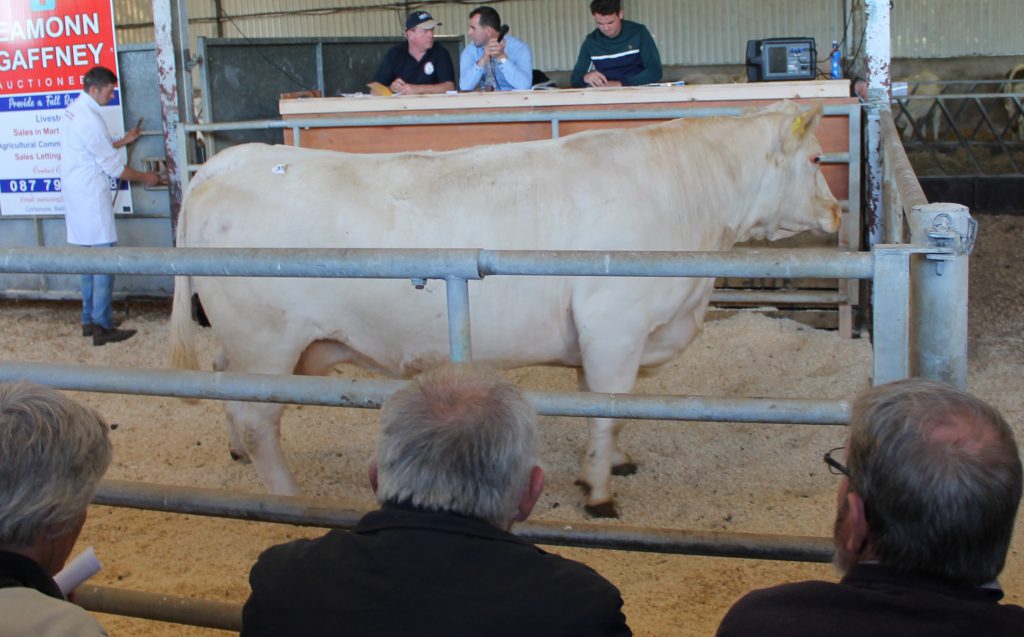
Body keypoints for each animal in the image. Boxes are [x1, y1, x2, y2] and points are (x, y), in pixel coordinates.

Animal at [169, 101, 841, 517]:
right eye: (815, 160)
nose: (838, 213)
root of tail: (223, 163)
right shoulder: (616, 324)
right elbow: (607, 410)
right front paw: (600, 495)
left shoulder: (600, 336)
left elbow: (606, 407)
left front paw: (609, 466)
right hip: (268, 341)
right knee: (258, 422)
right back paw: (287, 497)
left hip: (244, 339)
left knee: (225, 384)